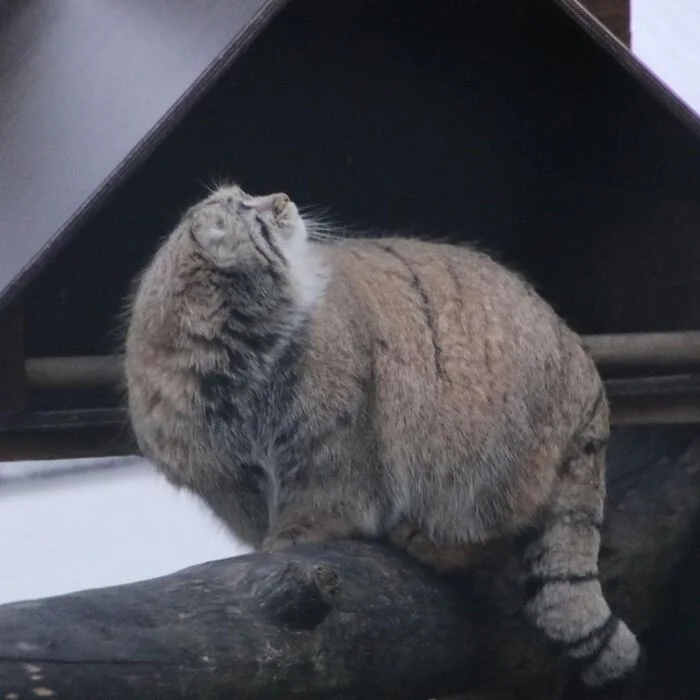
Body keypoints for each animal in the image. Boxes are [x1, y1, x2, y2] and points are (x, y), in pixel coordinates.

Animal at [124, 183, 640, 692]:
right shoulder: (224, 477)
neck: (237, 357)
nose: (285, 198)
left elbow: (323, 498)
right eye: (250, 211)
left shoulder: (334, 440)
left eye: (248, 197)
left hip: (478, 453)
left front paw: (295, 537)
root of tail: (588, 379)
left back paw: (428, 540)